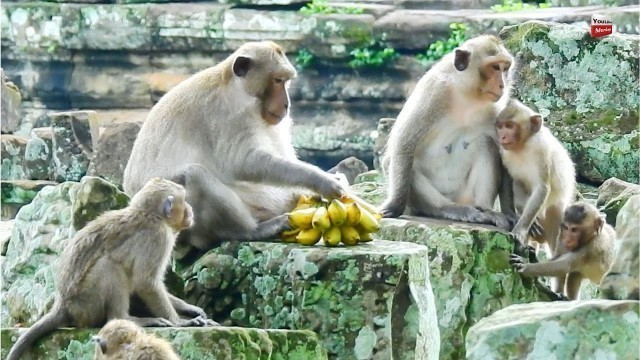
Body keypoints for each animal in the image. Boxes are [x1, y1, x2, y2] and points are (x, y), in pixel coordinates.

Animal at [6, 177, 218, 360]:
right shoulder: (159, 238)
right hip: (86, 302)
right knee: (109, 266)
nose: (190, 209)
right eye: (184, 200)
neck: (152, 215)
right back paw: (128, 318)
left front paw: (191, 310)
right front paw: (180, 321)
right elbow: (146, 283)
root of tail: (63, 305)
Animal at [122, 40, 348, 249]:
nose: (286, 104)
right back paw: (250, 231)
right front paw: (322, 180)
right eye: (277, 80)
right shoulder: (229, 114)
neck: (235, 87)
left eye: (286, 82)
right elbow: (243, 162)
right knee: (193, 176)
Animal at [380, 35, 516, 229]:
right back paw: (448, 209)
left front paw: (510, 213)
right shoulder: (431, 93)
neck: (467, 96)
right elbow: (404, 143)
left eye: (505, 68)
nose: (502, 85)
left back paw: (485, 210)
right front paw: (394, 206)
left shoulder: (498, 110)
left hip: (466, 195)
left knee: (487, 144)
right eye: (495, 67)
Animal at [492, 98, 576, 258]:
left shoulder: (541, 150)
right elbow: (512, 181)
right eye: (500, 127)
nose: (502, 136)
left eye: (509, 126)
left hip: (555, 212)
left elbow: (542, 187)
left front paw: (520, 230)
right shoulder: (502, 151)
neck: (522, 145)